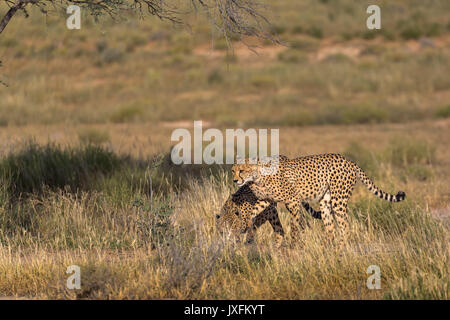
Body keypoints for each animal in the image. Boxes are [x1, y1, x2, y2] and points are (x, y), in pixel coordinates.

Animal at [234, 154, 406, 248]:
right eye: (233, 171)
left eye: (241, 170)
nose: (235, 180)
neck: (258, 177)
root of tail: (348, 160)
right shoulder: (266, 200)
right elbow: (253, 211)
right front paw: (245, 224)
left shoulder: (293, 200)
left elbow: (294, 224)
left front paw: (293, 244)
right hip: (325, 201)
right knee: (330, 229)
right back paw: (325, 248)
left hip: (338, 199)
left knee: (345, 227)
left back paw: (339, 249)